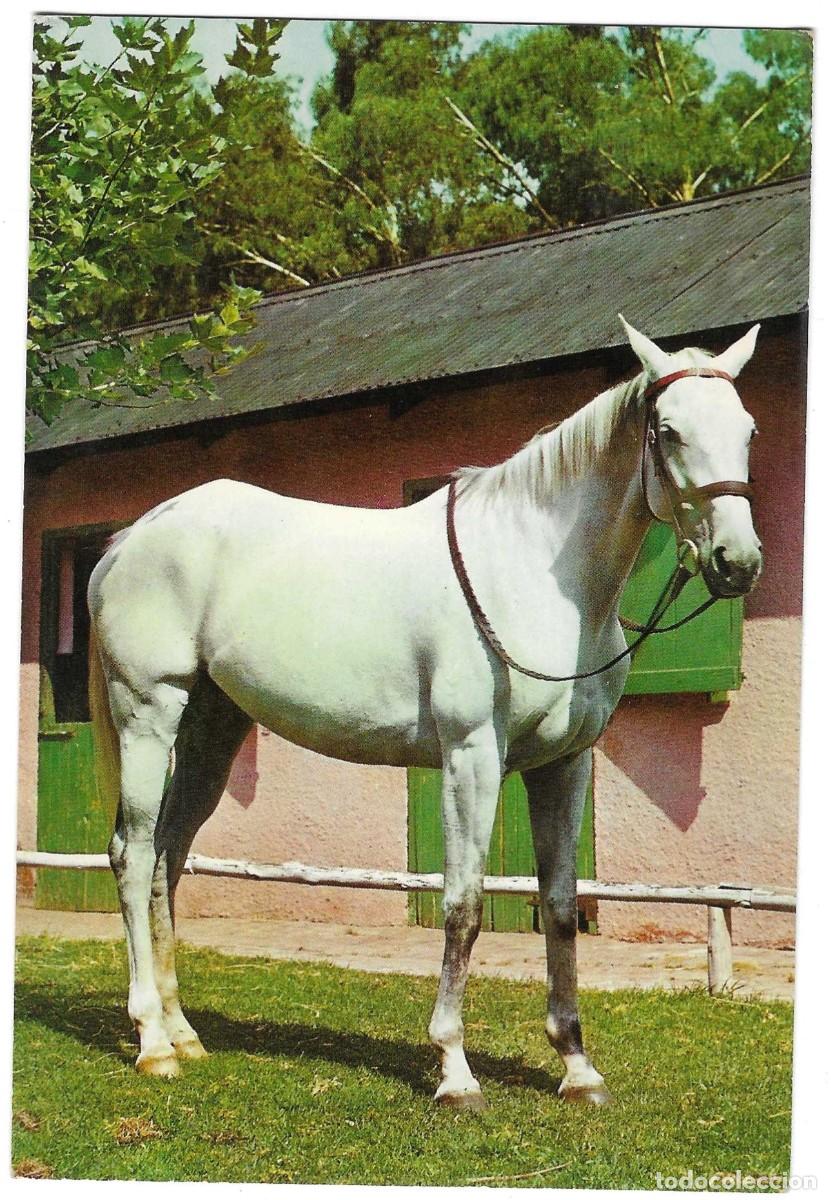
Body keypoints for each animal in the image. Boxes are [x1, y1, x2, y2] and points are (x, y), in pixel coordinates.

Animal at [87, 316, 762, 1108]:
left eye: (747, 429)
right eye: (668, 430)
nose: (737, 562)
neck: (532, 573)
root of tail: (130, 540)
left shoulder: (564, 765)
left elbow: (562, 907)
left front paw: (577, 1067)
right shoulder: (471, 758)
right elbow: (463, 906)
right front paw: (455, 1071)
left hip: (210, 728)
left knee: (168, 855)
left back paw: (185, 1033)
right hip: (148, 711)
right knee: (133, 856)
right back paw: (152, 1043)